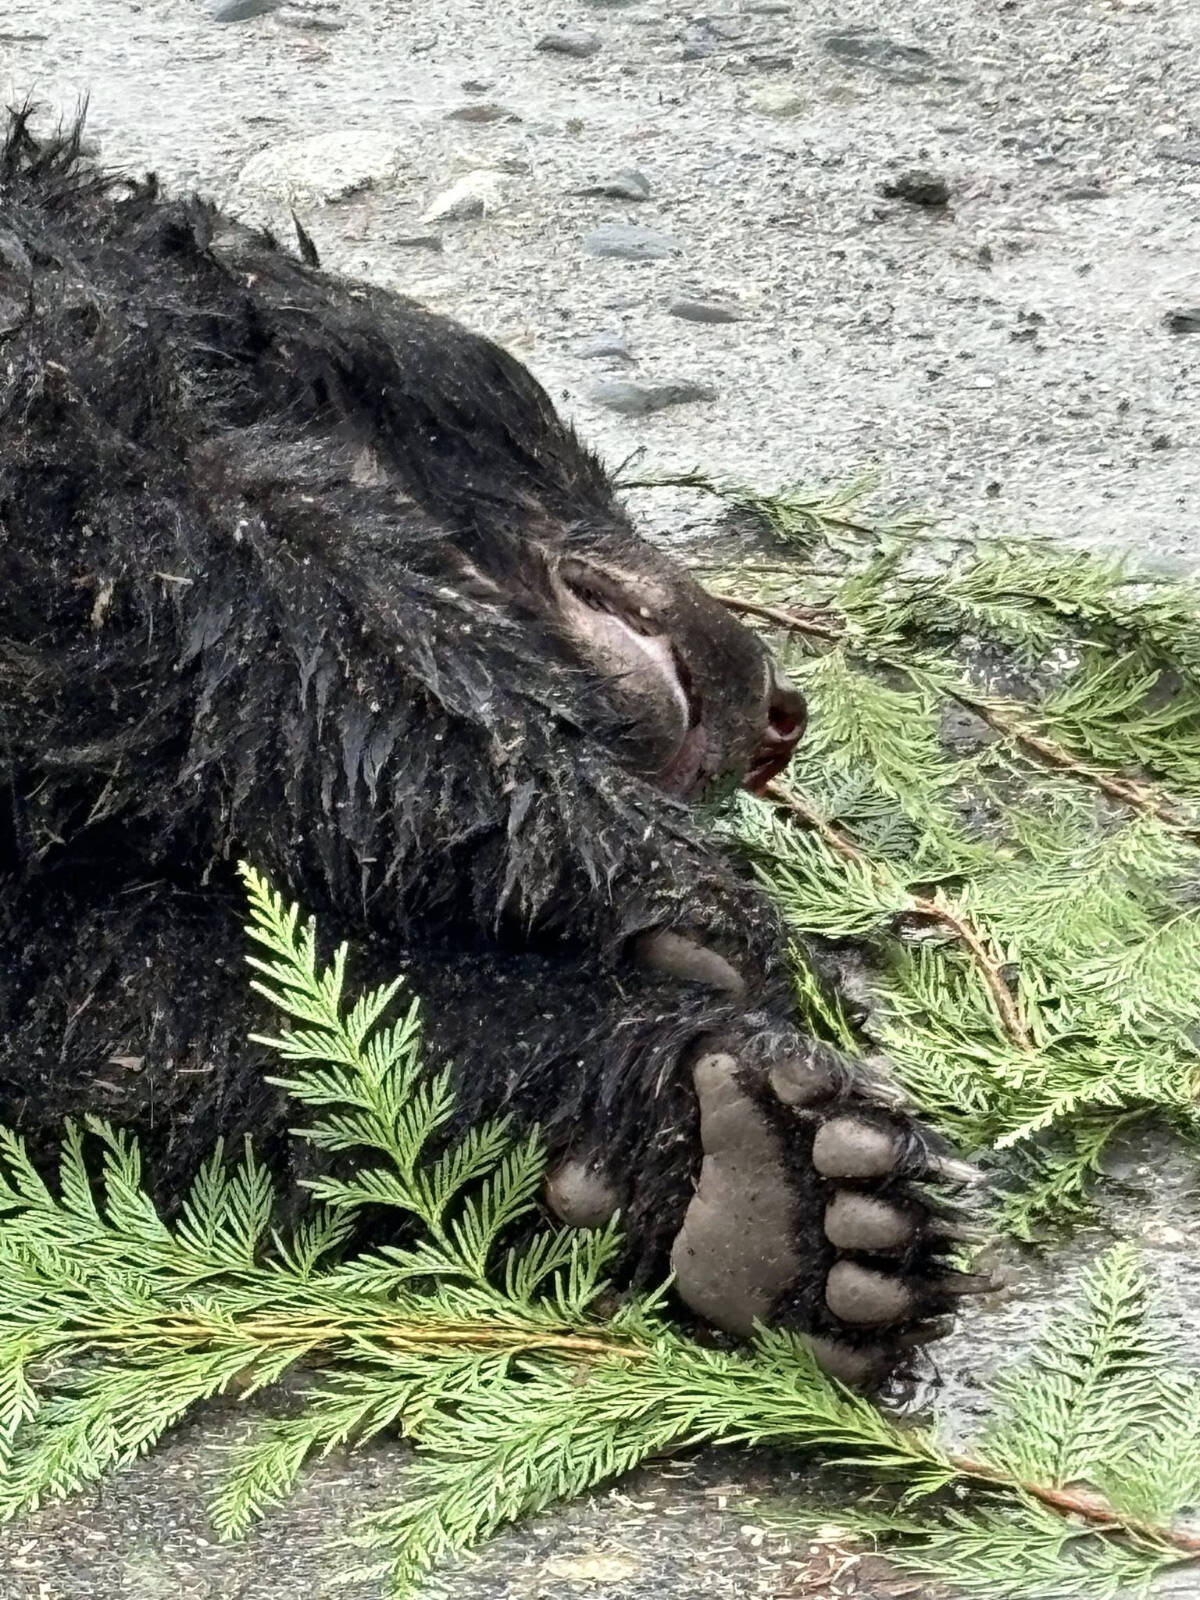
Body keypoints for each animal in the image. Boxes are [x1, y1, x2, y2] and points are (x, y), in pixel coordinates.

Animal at [0, 109, 978, 1386]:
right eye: (568, 449)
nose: (781, 706)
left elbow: (118, 1000)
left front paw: (755, 1172)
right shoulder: (64, 377)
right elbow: (200, 541)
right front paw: (683, 892)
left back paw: (785, 1201)